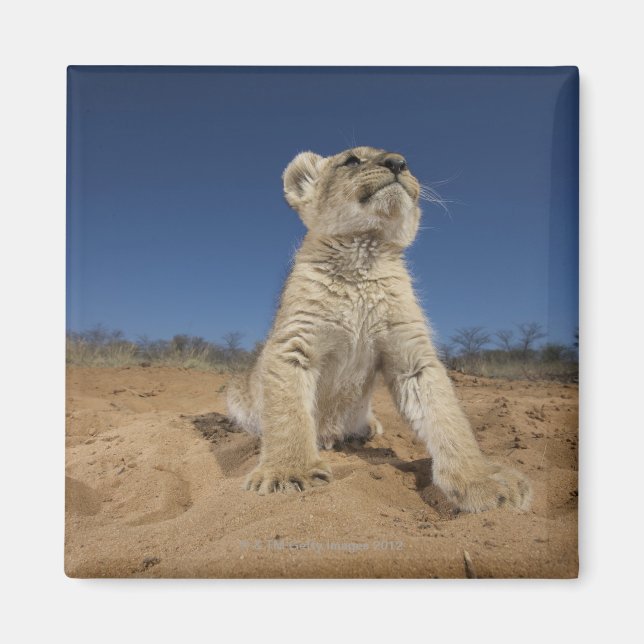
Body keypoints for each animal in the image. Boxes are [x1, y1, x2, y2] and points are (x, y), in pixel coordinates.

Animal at [227, 146, 532, 513]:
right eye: (351, 161)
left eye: (406, 162)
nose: (398, 163)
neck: (364, 253)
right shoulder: (293, 345)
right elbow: (288, 416)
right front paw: (288, 472)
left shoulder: (413, 356)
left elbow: (449, 419)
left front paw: (482, 480)